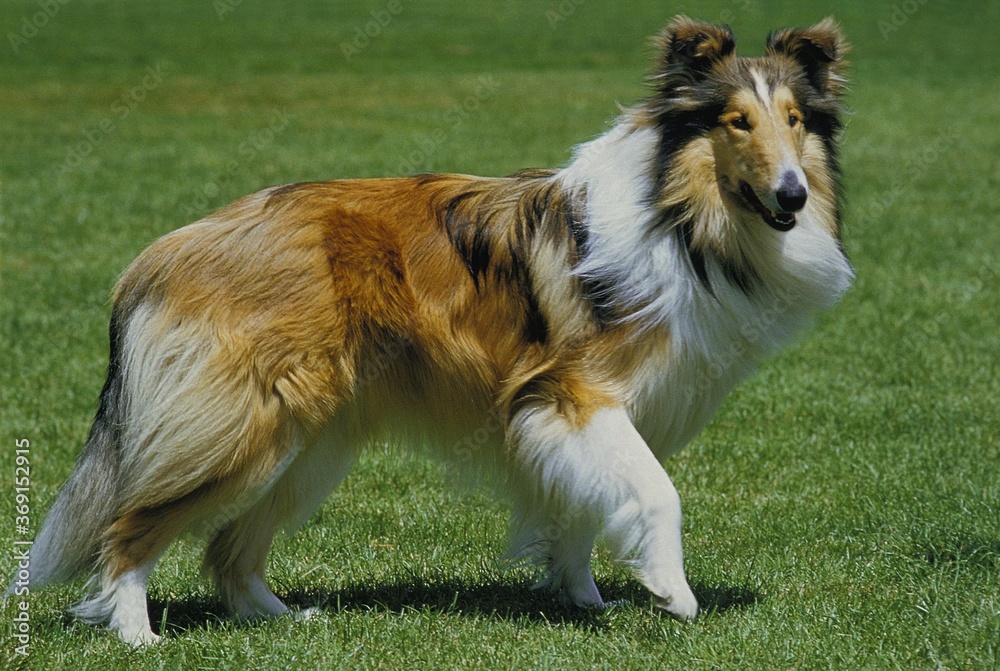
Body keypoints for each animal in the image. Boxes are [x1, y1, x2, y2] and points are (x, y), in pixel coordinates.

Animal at [9, 18, 852, 644]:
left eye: (796, 121)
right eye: (736, 122)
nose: (792, 194)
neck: (678, 216)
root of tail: (162, 251)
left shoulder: (567, 418)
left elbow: (580, 509)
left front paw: (584, 597)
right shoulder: (574, 392)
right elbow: (657, 491)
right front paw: (671, 593)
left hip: (308, 444)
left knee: (228, 547)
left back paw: (282, 618)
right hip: (243, 430)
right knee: (132, 527)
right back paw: (136, 632)